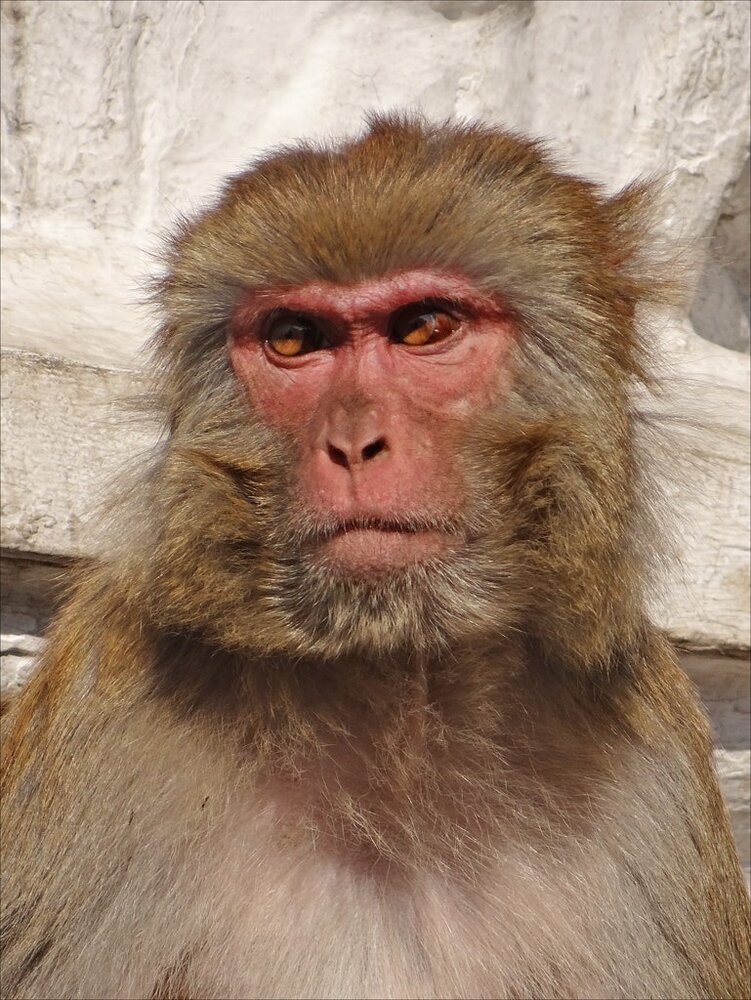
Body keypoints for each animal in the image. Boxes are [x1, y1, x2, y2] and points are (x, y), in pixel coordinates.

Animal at [1, 114, 749, 1000]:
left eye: (424, 327)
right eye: (294, 339)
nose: (352, 442)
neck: (398, 685)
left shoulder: (655, 756)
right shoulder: (99, 704)